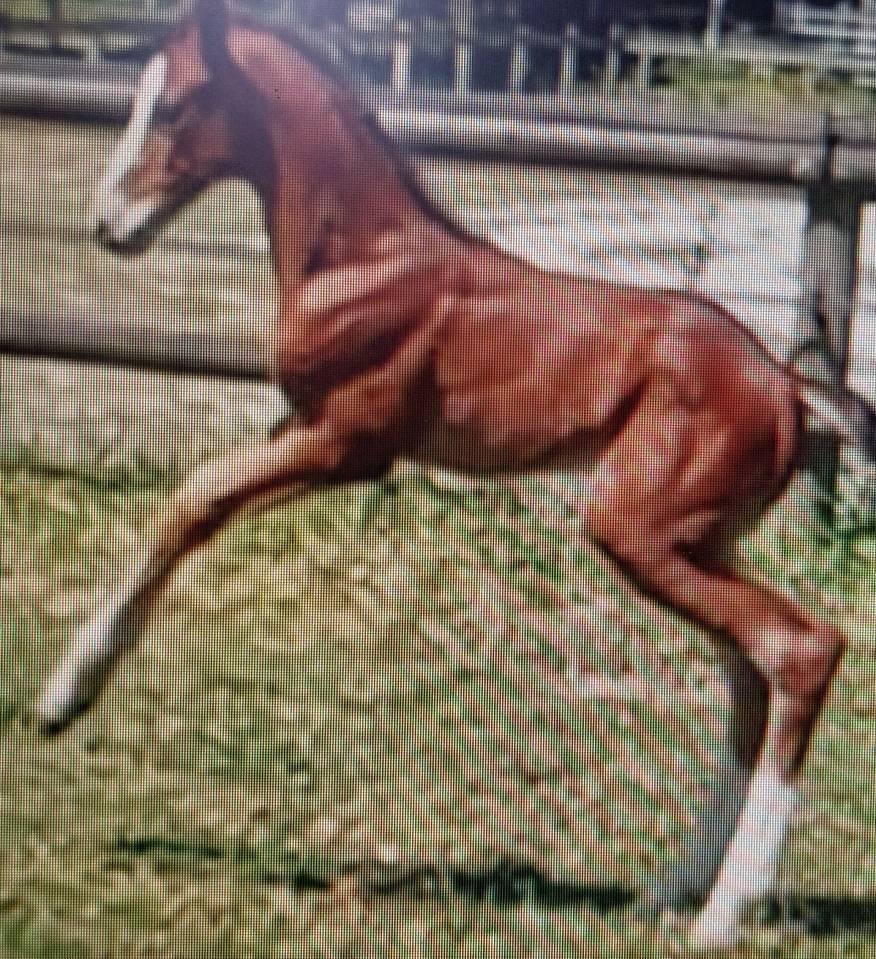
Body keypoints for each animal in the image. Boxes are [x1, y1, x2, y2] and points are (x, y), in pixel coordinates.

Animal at [36, 0, 876, 947]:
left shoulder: (350, 444)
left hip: (637, 528)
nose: (108, 224)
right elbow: (198, 498)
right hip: (697, 538)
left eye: (173, 106)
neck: (366, 258)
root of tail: (788, 386)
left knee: (799, 648)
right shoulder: (305, 428)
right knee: (750, 670)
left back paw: (721, 914)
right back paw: (673, 886)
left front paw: (65, 694)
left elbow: (193, 497)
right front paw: (68, 689)